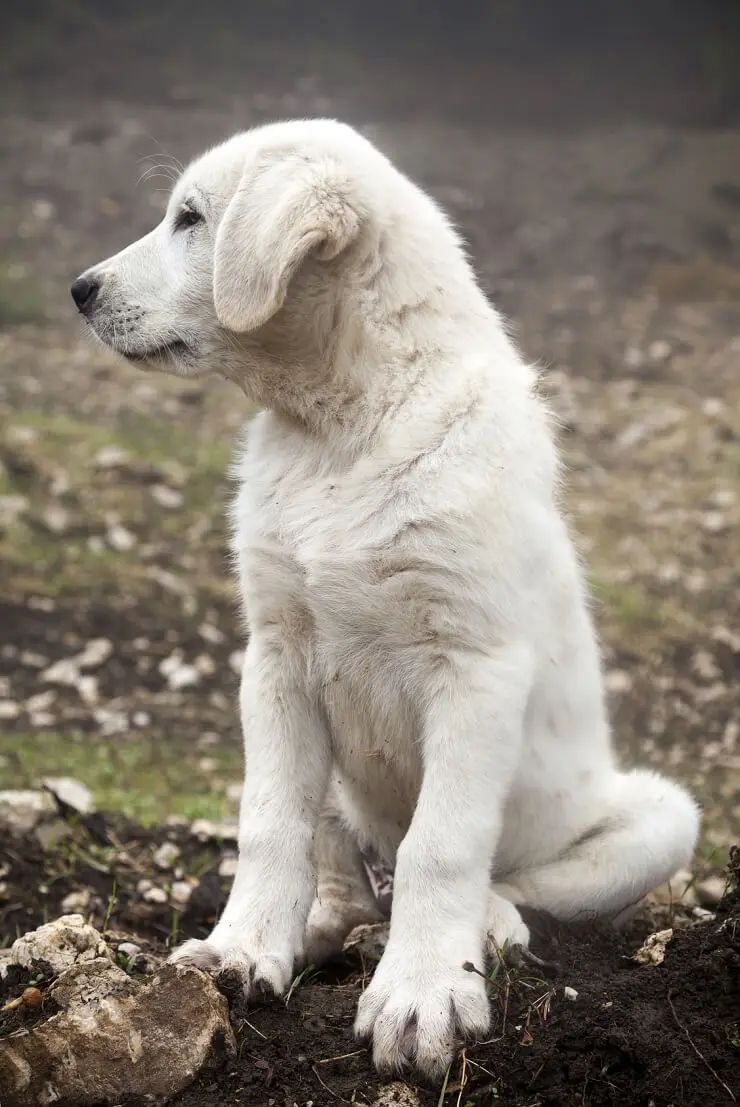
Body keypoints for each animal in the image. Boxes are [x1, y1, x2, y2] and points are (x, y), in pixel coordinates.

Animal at [70, 121, 700, 1080]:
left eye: (191, 218)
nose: (80, 289)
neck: (342, 429)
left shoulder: (475, 668)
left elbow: (442, 843)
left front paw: (425, 994)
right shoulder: (277, 655)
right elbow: (269, 822)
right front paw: (243, 948)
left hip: (659, 818)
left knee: (498, 880)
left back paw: (485, 926)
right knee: (342, 868)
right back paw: (322, 926)